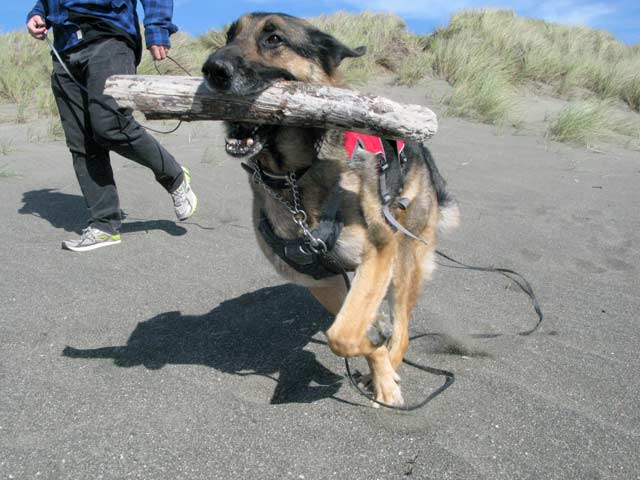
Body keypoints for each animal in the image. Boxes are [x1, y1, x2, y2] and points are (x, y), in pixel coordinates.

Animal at [202, 13, 458, 406]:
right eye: (229, 36)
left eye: (274, 39)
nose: (212, 69)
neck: (294, 177)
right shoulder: (322, 281)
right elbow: (349, 333)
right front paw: (377, 359)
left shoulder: (379, 252)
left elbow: (343, 336)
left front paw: (384, 379)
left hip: (405, 260)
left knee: (402, 328)